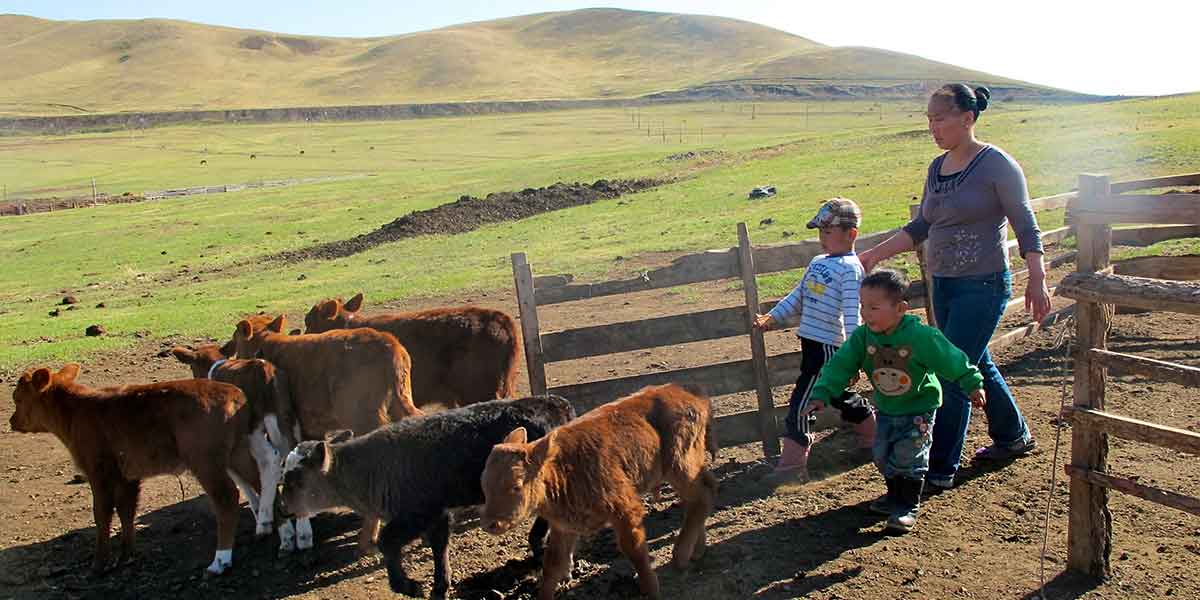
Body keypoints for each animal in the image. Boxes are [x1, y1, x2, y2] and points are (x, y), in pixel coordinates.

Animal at [9, 364, 258, 576]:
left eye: (18, 398)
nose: (12, 421)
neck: (77, 411)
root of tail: (234, 394)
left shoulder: (99, 471)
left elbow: (102, 514)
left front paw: (99, 564)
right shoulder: (127, 477)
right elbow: (126, 511)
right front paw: (127, 555)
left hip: (204, 460)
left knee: (227, 497)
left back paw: (220, 561)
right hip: (238, 452)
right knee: (259, 480)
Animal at [480, 384, 720, 600]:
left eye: (516, 485)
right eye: (484, 485)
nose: (490, 524)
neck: (563, 468)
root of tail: (691, 394)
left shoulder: (626, 511)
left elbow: (634, 551)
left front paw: (652, 590)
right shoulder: (563, 527)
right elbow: (553, 566)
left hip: (679, 465)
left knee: (702, 497)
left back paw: (680, 555)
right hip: (687, 466)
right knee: (702, 492)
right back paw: (697, 550)